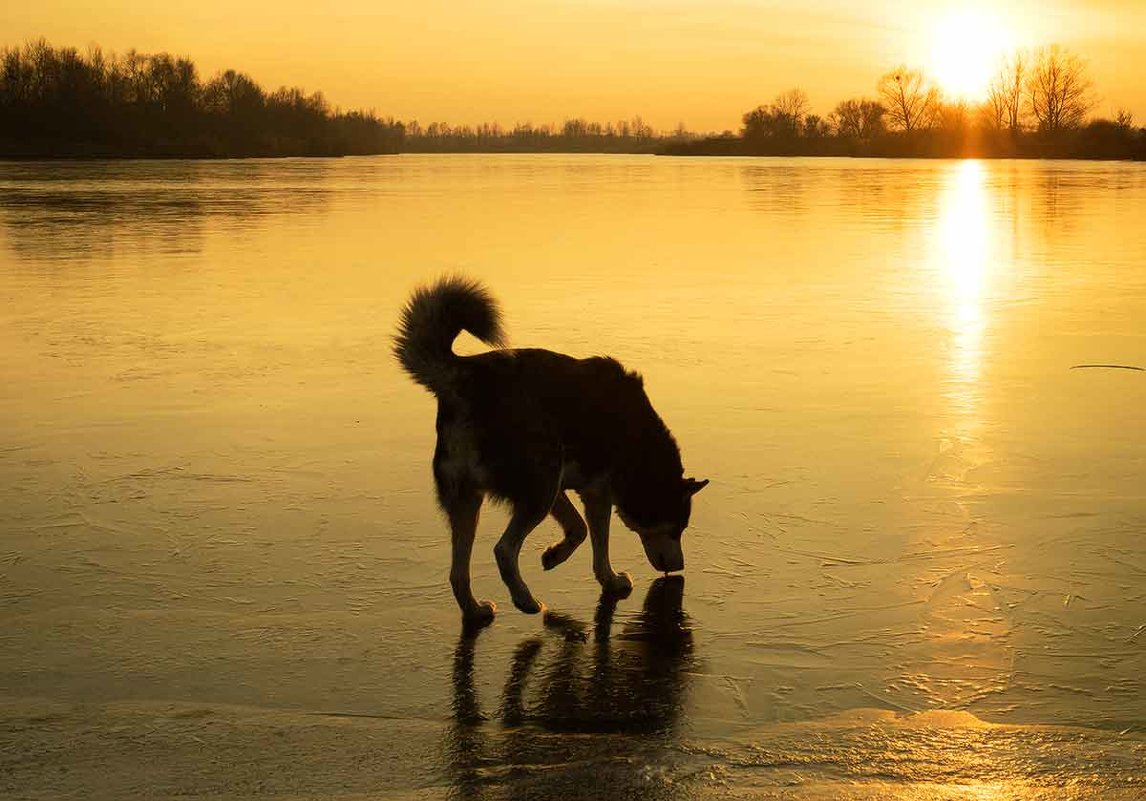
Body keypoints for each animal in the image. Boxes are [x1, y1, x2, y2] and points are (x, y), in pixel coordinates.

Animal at [396, 277, 705, 627]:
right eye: (679, 528)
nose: (679, 567)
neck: (642, 444)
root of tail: (463, 378)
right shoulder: (595, 493)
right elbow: (597, 542)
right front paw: (610, 579)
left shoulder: (561, 487)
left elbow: (578, 528)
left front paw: (555, 555)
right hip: (536, 489)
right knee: (503, 550)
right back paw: (525, 600)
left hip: (472, 499)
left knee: (458, 573)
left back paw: (475, 610)